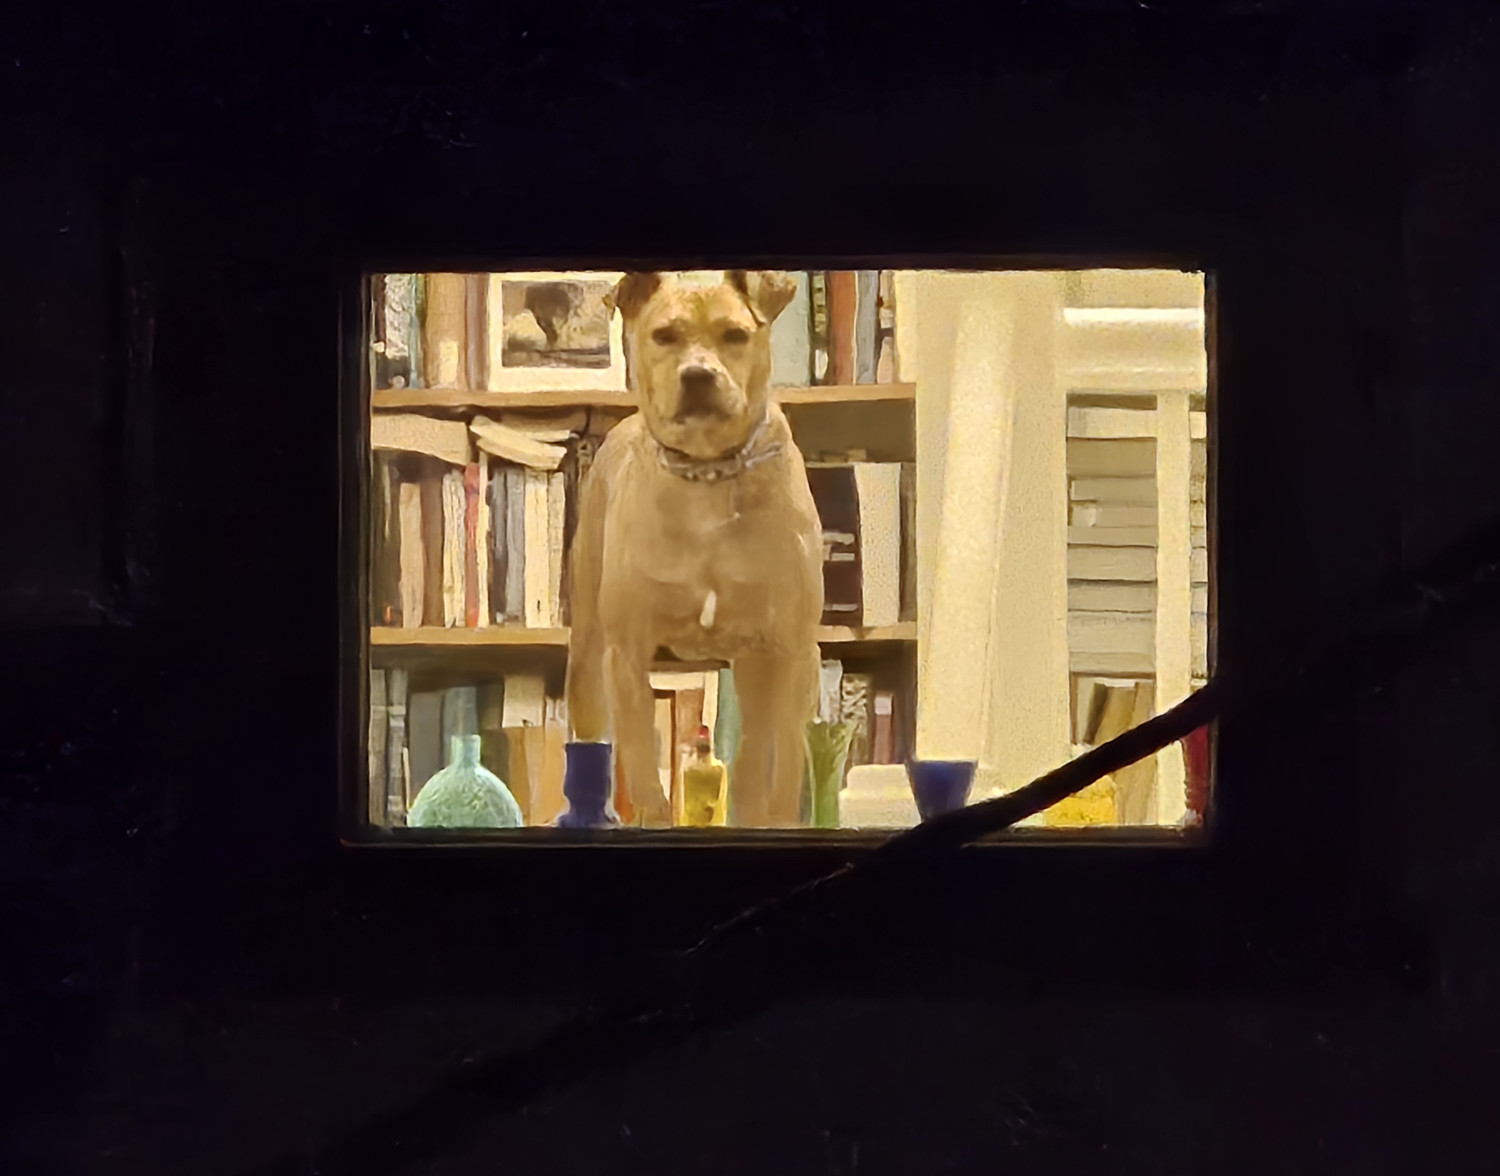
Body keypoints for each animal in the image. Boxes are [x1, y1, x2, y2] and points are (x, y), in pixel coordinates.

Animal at [564, 274, 822, 828]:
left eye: (735, 335)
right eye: (664, 335)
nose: (699, 375)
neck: (707, 472)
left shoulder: (789, 650)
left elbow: (780, 763)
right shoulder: (628, 653)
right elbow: (642, 763)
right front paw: (653, 814)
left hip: (761, 666)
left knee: (758, 754)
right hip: (589, 655)